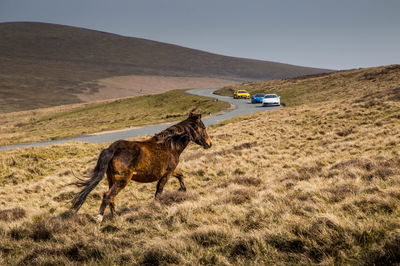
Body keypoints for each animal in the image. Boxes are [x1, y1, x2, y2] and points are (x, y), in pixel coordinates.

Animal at [70, 111, 212, 222]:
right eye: (203, 128)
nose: (209, 143)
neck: (170, 145)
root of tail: (112, 149)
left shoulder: (171, 171)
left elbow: (180, 175)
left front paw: (182, 190)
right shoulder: (167, 173)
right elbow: (159, 191)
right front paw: (157, 206)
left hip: (112, 179)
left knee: (112, 197)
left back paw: (115, 218)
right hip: (122, 180)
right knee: (108, 195)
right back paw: (99, 218)